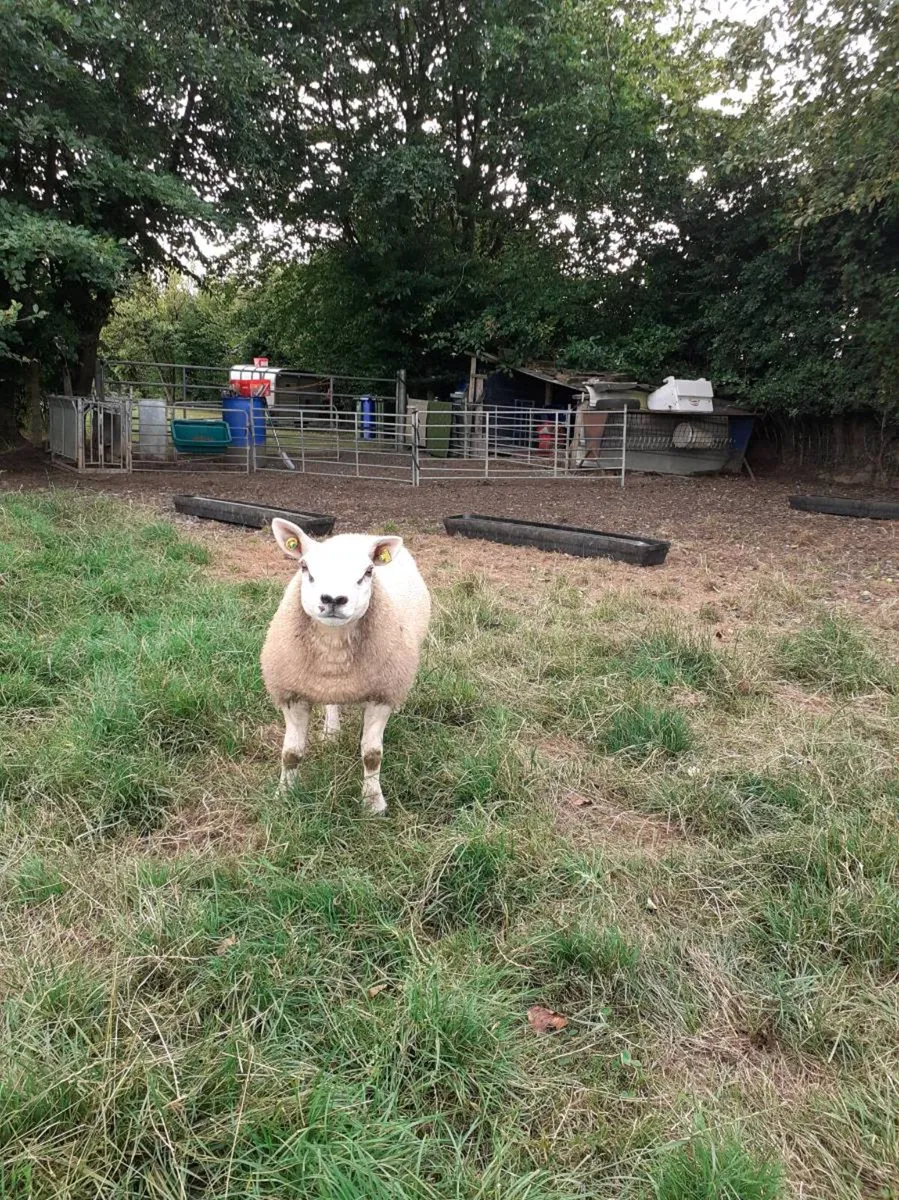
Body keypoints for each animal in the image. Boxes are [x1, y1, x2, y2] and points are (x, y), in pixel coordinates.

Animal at [260, 518, 431, 813]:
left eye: (369, 571)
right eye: (304, 567)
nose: (333, 599)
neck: (334, 644)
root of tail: (355, 534)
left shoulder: (382, 695)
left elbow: (372, 755)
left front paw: (373, 802)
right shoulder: (292, 693)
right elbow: (291, 753)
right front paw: (284, 795)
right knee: (332, 702)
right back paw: (332, 732)